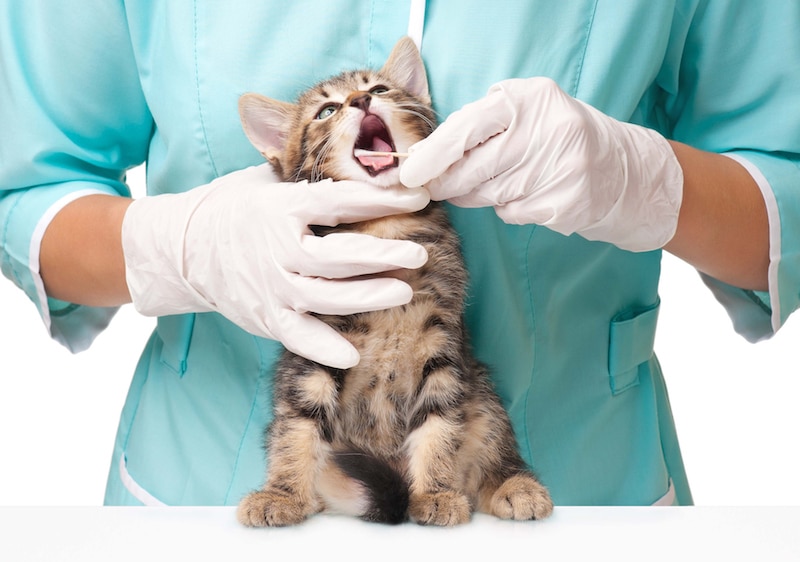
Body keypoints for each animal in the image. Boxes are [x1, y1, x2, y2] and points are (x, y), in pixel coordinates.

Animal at [234, 37, 552, 524]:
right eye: (326, 111)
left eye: (379, 89)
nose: (360, 101)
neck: (385, 228)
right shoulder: (315, 346)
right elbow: (297, 426)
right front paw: (283, 493)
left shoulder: (442, 339)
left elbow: (440, 422)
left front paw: (435, 492)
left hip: (481, 393)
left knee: (491, 439)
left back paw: (512, 485)